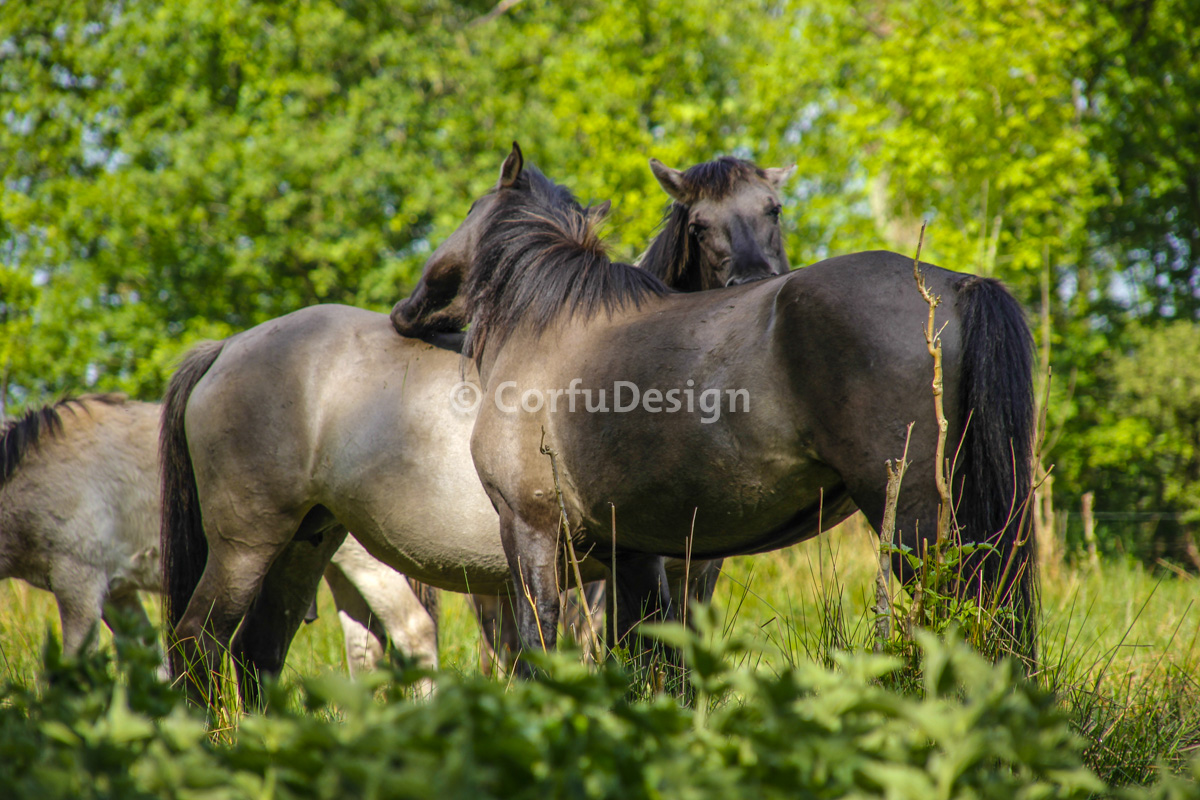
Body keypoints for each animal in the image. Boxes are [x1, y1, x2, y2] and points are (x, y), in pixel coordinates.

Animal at [0, 393, 441, 676]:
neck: (39, 470)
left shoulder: (78, 583)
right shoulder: (117, 592)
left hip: (369, 566)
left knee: (413, 631)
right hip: (332, 568)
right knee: (365, 649)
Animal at [162, 153, 796, 705]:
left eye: (774, 210)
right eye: (699, 224)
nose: (752, 285)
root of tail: (227, 348)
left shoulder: (687, 573)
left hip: (305, 542)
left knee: (256, 651)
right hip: (249, 542)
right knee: (199, 640)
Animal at [396, 143, 1041, 671]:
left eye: (469, 209)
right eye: (701, 226)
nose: (406, 310)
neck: (548, 322)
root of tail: (956, 285)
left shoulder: (529, 531)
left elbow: (540, 649)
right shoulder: (634, 552)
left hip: (920, 526)